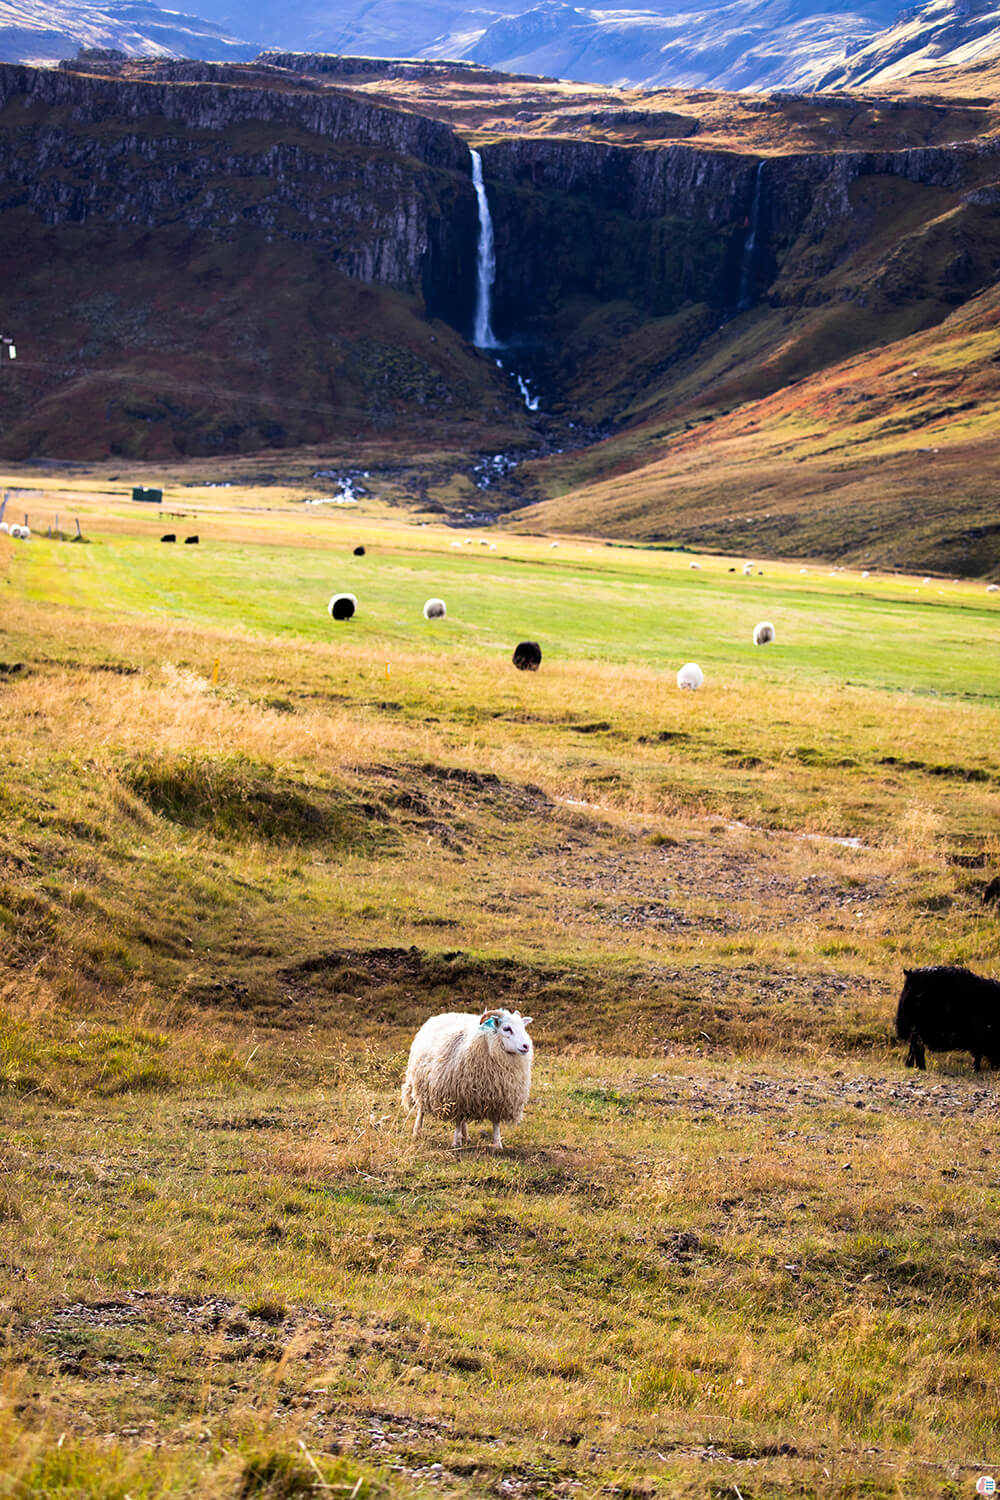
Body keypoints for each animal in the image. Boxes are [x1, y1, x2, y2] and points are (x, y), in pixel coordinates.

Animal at [401, 1008, 536, 1146]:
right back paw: (417, 1132)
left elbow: (496, 1123)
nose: (526, 1046)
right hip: (421, 1085)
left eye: (523, 1027)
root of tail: (437, 1016)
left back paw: (466, 1136)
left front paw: (497, 1144)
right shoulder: (456, 1096)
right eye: (507, 1028)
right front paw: (456, 1142)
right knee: (421, 1110)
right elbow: (457, 1120)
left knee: (463, 1120)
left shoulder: (499, 1098)